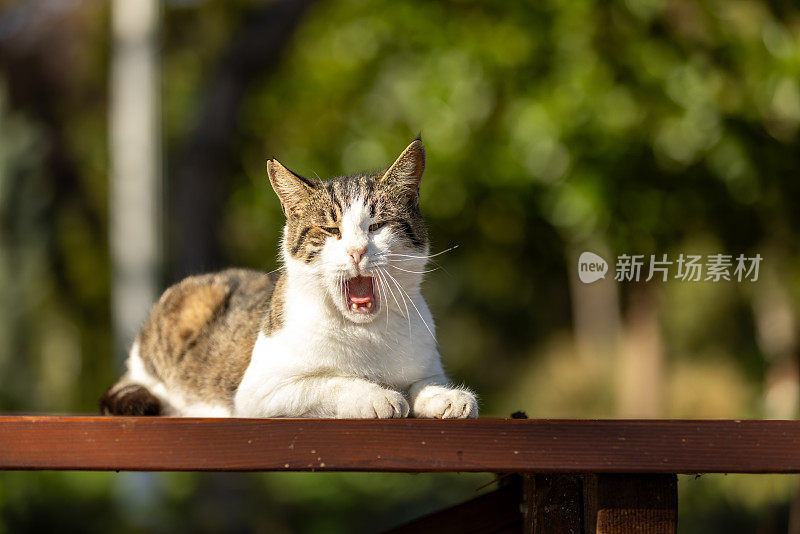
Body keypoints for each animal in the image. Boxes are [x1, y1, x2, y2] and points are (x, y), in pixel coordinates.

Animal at [97, 140, 478, 420]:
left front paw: (445, 397)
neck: (366, 333)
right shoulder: (261, 392)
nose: (356, 251)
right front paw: (375, 395)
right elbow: (329, 382)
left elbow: (421, 384)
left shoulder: (425, 366)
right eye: (331, 230)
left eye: (377, 226)